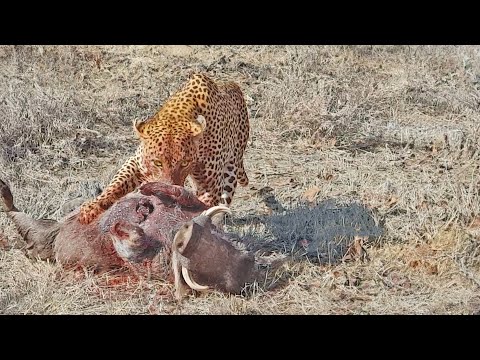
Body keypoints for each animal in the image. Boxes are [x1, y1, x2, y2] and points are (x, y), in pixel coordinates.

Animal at [77, 72, 249, 225]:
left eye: (184, 163)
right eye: (157, 163)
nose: (167, 194)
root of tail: (233, 85)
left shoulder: (209, 186)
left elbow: (201, 207)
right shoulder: (137, 162)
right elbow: (115, 185)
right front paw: (91, 208)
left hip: (231, 168)